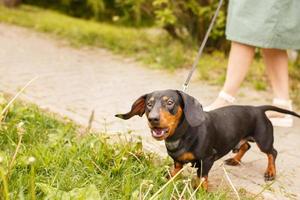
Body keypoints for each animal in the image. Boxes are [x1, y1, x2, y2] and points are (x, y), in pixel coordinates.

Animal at [115, 90, 300, 190]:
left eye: (170, 102)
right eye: (149, 104)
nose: (152, 119)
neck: (182, 135)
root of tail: (258, 109)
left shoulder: (207, 159)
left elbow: (202, 179)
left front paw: (200, 191)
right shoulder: (177, 163)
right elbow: (174, 174)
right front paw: (166, 183)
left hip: (264, 140)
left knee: (272, 153)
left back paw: (270, 172)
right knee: (246, 145)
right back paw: (234, 160)